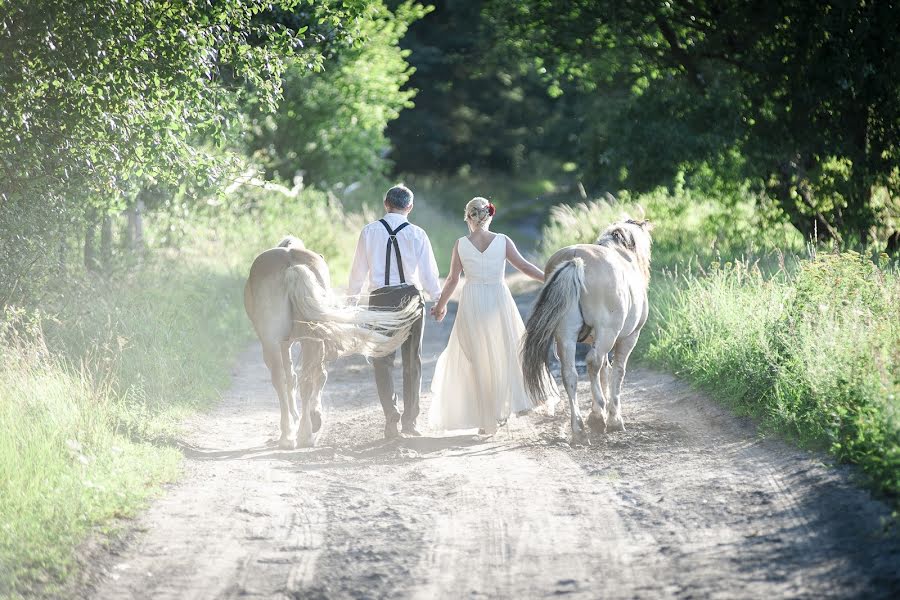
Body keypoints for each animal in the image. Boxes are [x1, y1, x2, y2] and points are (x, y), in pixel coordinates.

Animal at [241, 237, 420, 448]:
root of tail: (291, 265)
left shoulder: (285, 343)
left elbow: (295, 378)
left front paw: (308, 418)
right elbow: (304, 378)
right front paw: (313, 418)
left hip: (279, 341)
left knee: (290, 379)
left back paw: (291, 435)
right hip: (298, 339)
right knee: (304, 379)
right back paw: (303, 434)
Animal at [520, 218, 652, 442]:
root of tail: (575, 260)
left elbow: (604, 372)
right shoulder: (628, 338)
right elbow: (617, 372)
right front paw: (613, 418)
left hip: (566, 336)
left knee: (570, 374)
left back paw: (579, 427)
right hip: (607, 333)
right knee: (592, 362)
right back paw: (597, 417)